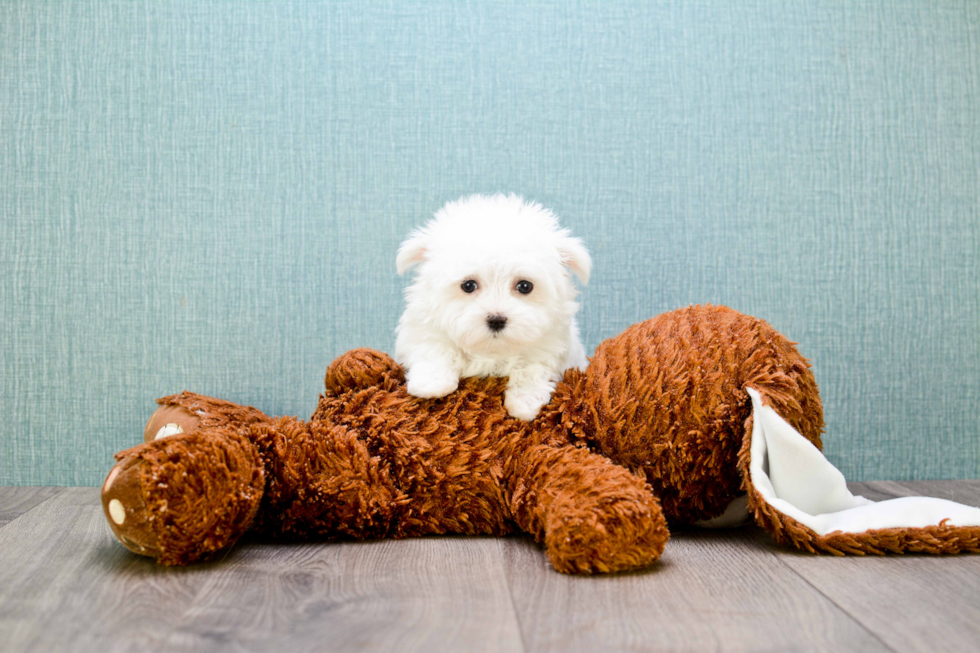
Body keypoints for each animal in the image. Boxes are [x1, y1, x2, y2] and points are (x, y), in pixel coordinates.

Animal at [394, 191, 592, 420]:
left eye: (525, 286)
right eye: (468, 285)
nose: (496, 320)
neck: (491, 351)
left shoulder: (551, 346)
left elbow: (532, 368)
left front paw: (525, 403)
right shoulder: (425, 328)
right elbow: (435, 348)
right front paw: (431, 384)